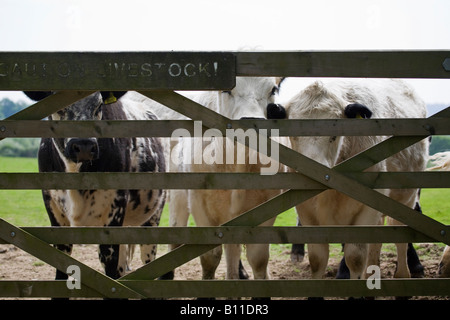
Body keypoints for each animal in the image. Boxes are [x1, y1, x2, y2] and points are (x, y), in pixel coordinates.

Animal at [23, 90, 167, 280]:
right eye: (59, 105)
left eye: (99, 105)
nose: (84, 146)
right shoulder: (52, 205)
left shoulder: (115, 207)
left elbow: (110, 262)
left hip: (153, 214)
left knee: (147, 256)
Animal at [284, 79, 428, 280]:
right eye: (293, 135)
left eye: (334, 136)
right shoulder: (306, 211)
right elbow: (318, 258)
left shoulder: (368, 207)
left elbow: (355, 257)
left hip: (405, 200)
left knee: (400, 239)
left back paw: (403, 274)